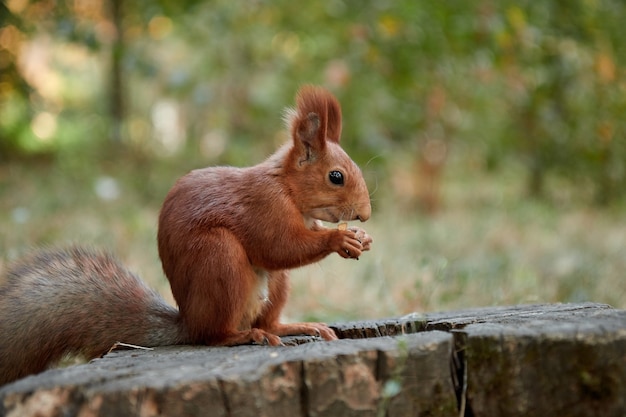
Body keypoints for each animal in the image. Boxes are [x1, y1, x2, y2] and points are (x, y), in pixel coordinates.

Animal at [0, 83, 370, 384]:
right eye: (336, 177)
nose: (365, 214)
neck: (288, 189)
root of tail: (188, 320)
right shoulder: (264, 207)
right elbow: (279, 247)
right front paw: (339, 239)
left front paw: (359, 239)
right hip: (219, 259)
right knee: (212, 335)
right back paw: (242, 336)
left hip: (272, 284)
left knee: (268, 320)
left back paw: (294, 327)